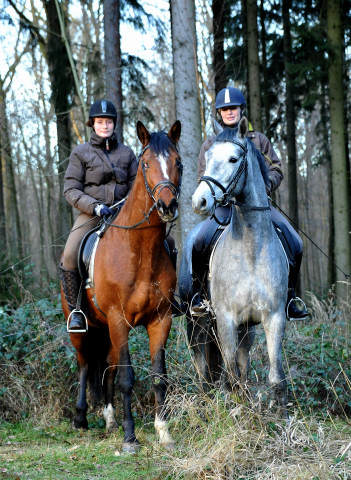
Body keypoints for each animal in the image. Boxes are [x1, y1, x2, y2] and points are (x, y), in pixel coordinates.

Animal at [61, 120, 184, 450]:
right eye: (146, 164)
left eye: (178, 163)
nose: (167, 205)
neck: (139, 252)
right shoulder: (120, 319)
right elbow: (128, 378)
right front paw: (131, 438)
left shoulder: (160, 321)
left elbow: (158, 376)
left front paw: (164, 432)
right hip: (85, 329)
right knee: (86, 364)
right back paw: (81, 418)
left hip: (108, 330)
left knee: (108, 368)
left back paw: (110, 419)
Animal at [180, 116, 290, 416]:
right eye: (207, 158)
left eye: (233, 159)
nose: (199, 202)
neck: (251, 249)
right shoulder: (226, 319)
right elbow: (230, 377)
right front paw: (235, 414)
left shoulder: (274, 317)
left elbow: (276, 378)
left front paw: (283, 419)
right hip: (197, 320)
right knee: (202, 362)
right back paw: (205, 399)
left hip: (246, 327)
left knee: (242, 361)